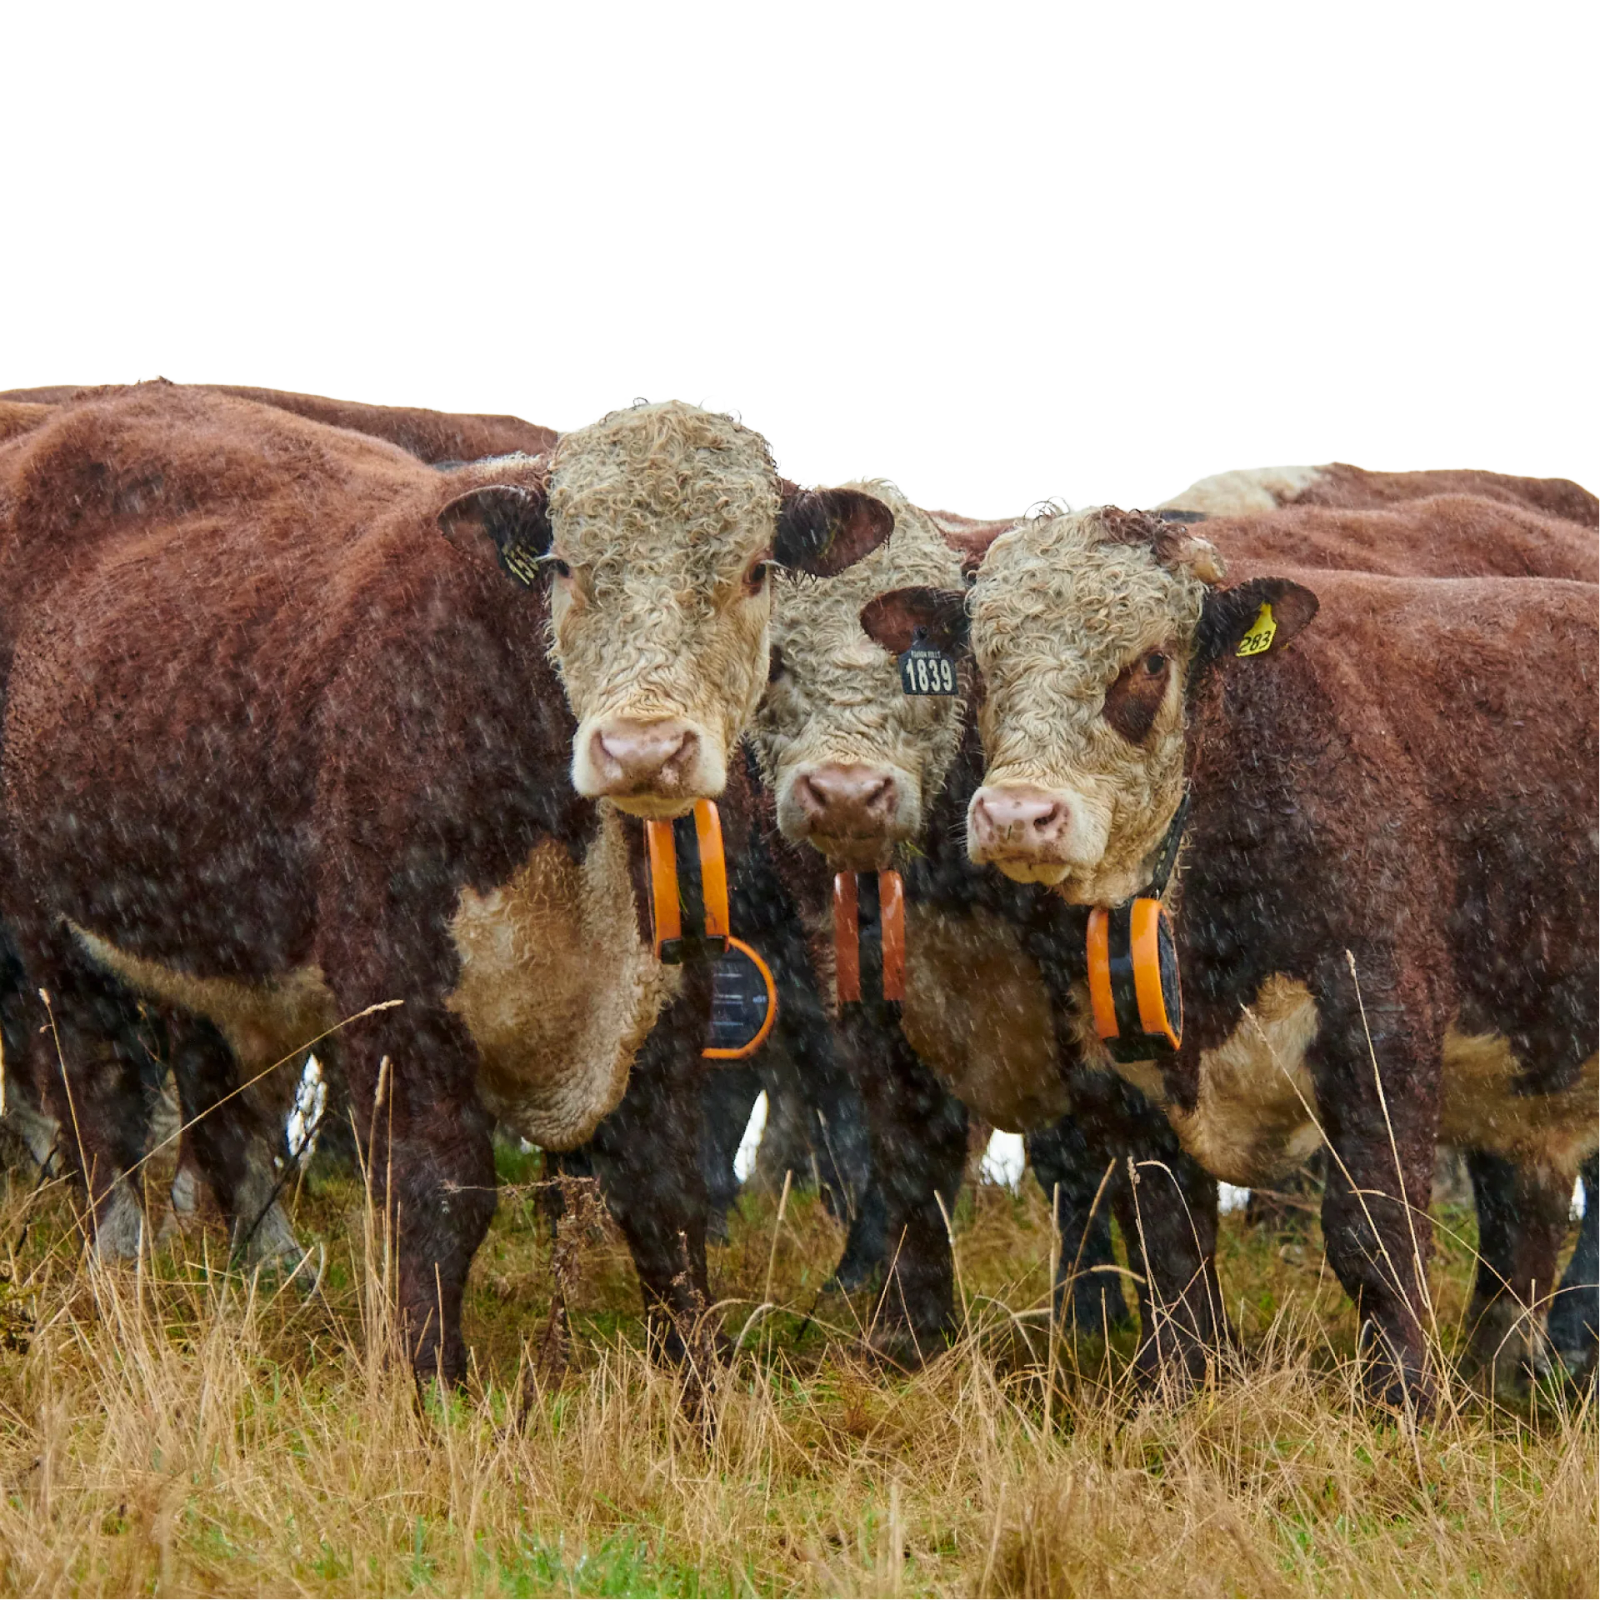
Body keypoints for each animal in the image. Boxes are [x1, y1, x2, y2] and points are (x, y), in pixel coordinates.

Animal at [0, 385, 893, 1381]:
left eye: (754, 570)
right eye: (566, 567)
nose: (643, 747)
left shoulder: (666, 993)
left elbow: (664, 1200)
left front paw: (696, 1381)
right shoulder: (398, 992)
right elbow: (439, 1193)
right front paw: (427, 1378)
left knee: (220, 1097)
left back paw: (274, 1269)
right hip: (50, 933)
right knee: (99, 1097)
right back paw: (118, 1271)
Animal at [867, 501, 1600, 1406]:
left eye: (1151, 661)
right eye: (980, 657)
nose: (1017, 814)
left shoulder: (1381, 1018)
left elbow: (1374, 1228)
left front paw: (1401, 1399)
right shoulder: (1124, 1067)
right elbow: (1166, 1237)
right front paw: (1176, 1388)